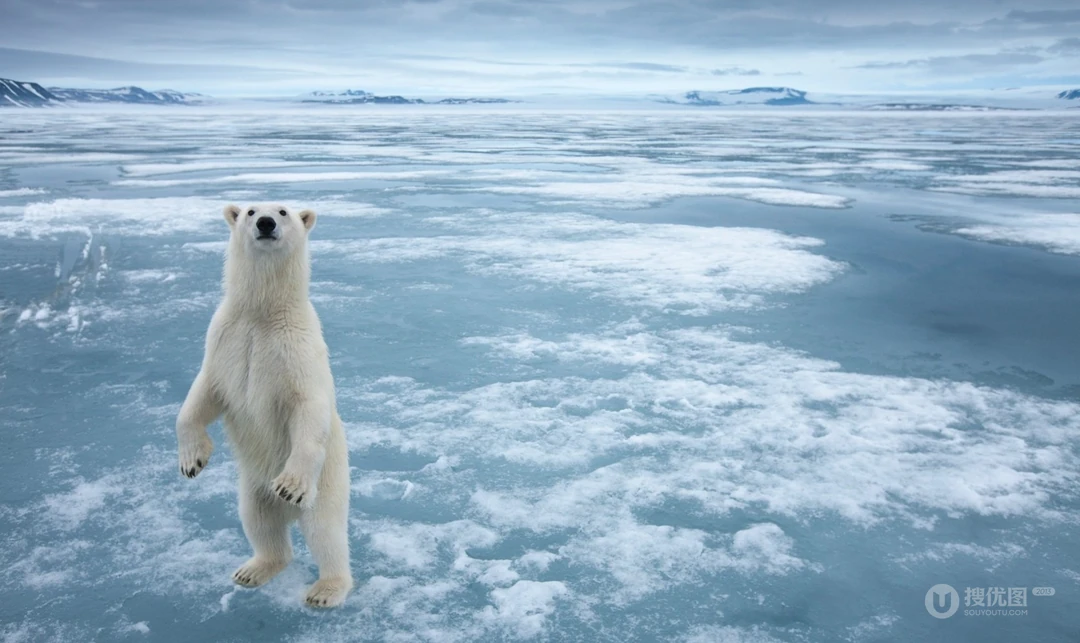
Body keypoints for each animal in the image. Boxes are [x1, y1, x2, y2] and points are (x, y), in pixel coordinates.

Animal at [175, 203, 352, 608]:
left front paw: (289, 484)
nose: (266, 223)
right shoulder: (225, 339)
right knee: (258, 522)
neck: (262, 313)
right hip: (252, 487)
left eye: (284, 211)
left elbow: (308, 408)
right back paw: (253, 569)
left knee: (325, 531)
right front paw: (192, 460)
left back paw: (326, 589)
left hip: (328, 481)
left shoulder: (297, 350)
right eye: (250, 209)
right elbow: (202, 395)